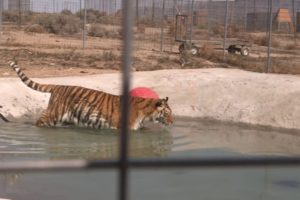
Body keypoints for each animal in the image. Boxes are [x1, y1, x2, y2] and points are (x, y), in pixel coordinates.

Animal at [9, 61, 173, 130]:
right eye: (167, 113)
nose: (172, 122)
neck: (147, 112)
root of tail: (58, 86)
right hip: (53, 114)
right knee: (39, 121)